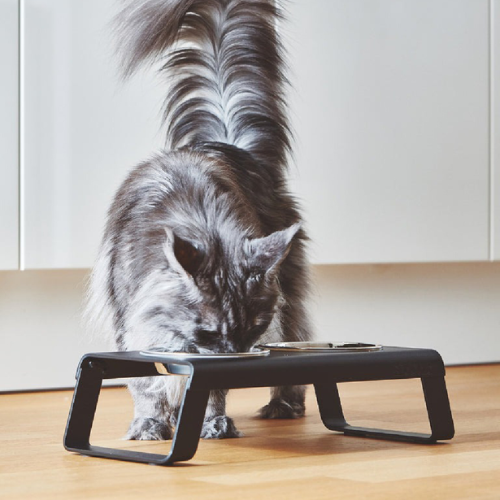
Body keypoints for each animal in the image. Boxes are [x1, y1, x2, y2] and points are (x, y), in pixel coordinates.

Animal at [85, 0, 312, 440]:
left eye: (252, 329)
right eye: (209, 331)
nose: (234, 356)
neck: (204, 224)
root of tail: (225, 143)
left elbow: (207, 386)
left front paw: (211, 419)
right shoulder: (134, 318)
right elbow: (148, 383)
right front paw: (151, 423)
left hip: (289, 294)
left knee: (298, 339)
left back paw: (284, 404)